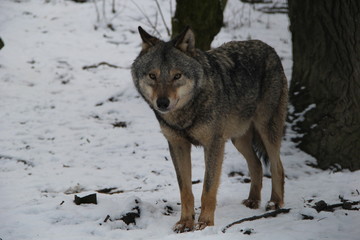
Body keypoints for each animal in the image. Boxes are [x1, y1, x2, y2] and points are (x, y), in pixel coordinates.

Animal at [131, 26, 288, 232]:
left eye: (177, 76)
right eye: (152, 76)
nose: (162, 103)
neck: (186, 114)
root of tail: (268, 48)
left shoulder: (213, 144)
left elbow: (207, 189)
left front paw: (205, 223)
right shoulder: (177, 145)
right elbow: (185, 190)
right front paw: (185, 222)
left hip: (266, 130)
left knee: (278, 166)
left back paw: (275, 202)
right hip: (237, 139)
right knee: (257, 165)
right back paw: (253, 201)